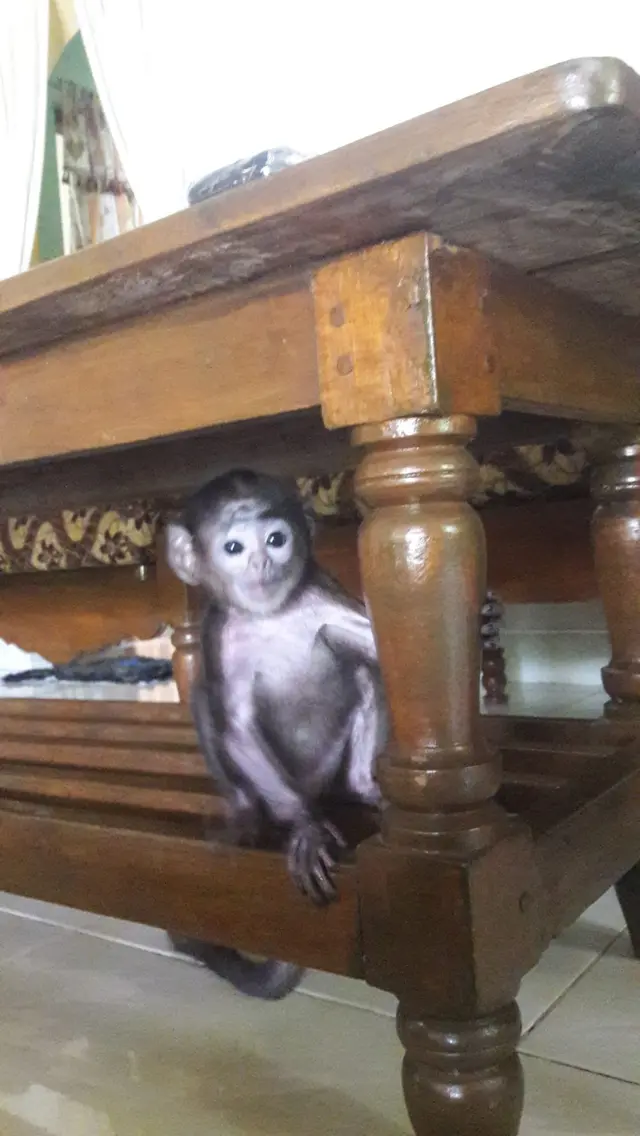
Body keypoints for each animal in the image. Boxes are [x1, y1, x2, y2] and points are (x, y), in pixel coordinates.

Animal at [165, 469, 387, 1000]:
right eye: (233, 547)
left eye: (276, 539)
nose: (263, 563)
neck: (272, 617)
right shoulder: (221, 635)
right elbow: (238, 724)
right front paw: (305, 827)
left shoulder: (321, 595)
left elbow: (377, 654)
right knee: (205, 701)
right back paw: (249, 812)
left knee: (361, 673)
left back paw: (363, 786)